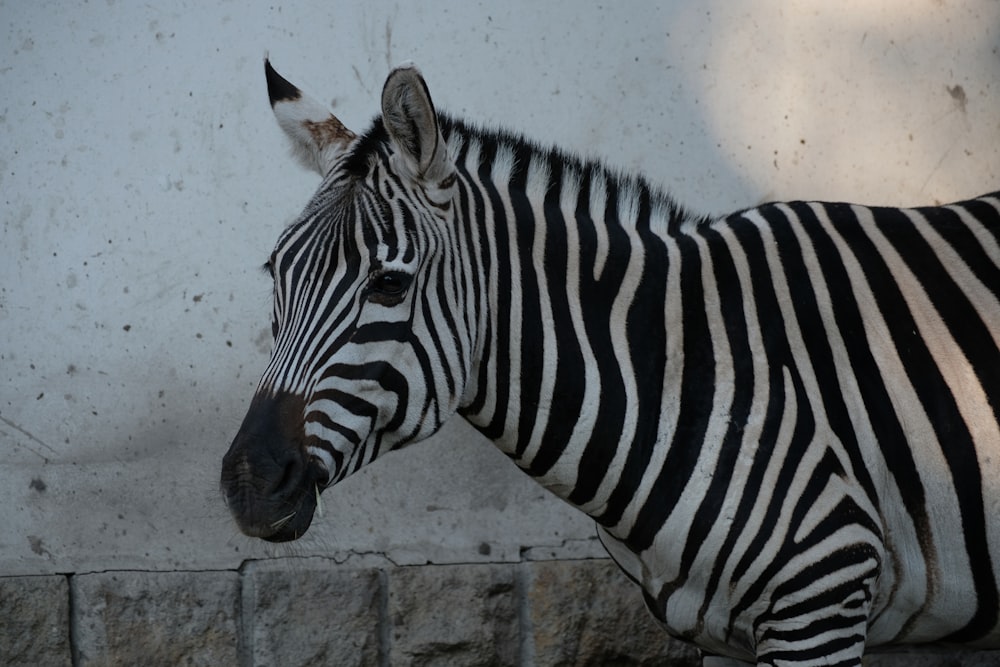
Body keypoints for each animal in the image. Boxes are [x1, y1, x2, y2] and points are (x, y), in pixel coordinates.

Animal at [223, 58, 1000, 667]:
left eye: (389, 283)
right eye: (274, 275)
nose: (248, 484)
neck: (689, 372)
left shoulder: (823, 594)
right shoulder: (734, 633)